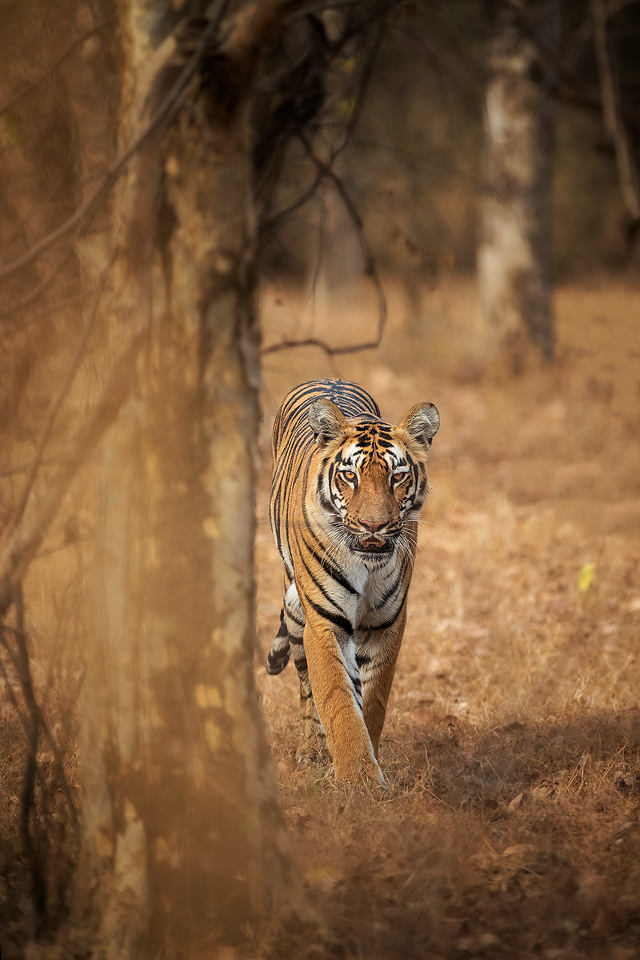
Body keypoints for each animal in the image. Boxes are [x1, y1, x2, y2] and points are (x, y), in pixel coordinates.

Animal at [266, 378, 440, 784]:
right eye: (350, 476)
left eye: (397, 476)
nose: (374, 526)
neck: (368, 566)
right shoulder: (325, 622)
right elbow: (337, 699)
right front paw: (359, 781)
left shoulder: (386, 624)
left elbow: (372, 700)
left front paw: (368, 769)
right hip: (295, 610)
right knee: (305, 684)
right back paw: (311, 749)